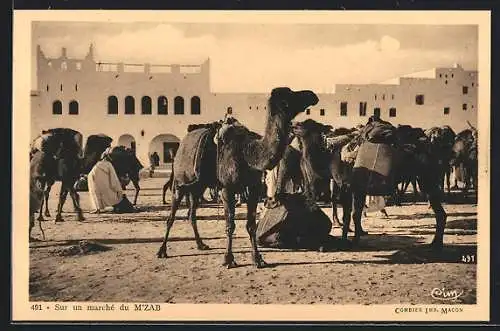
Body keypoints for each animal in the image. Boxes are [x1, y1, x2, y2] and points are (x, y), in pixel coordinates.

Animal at [158, 87, 318, 268]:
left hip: (198, 186)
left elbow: (251, 226)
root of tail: (180, 147)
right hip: (180, 181)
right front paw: (228, 259)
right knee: (171, 216)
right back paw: (162, 250)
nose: (312, 95)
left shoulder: (254, 189)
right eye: (290, 95)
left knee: (192, 214)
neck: (248, 152)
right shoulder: (227, 189)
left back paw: (201, 244)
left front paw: (258, 258)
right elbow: (230, 225)